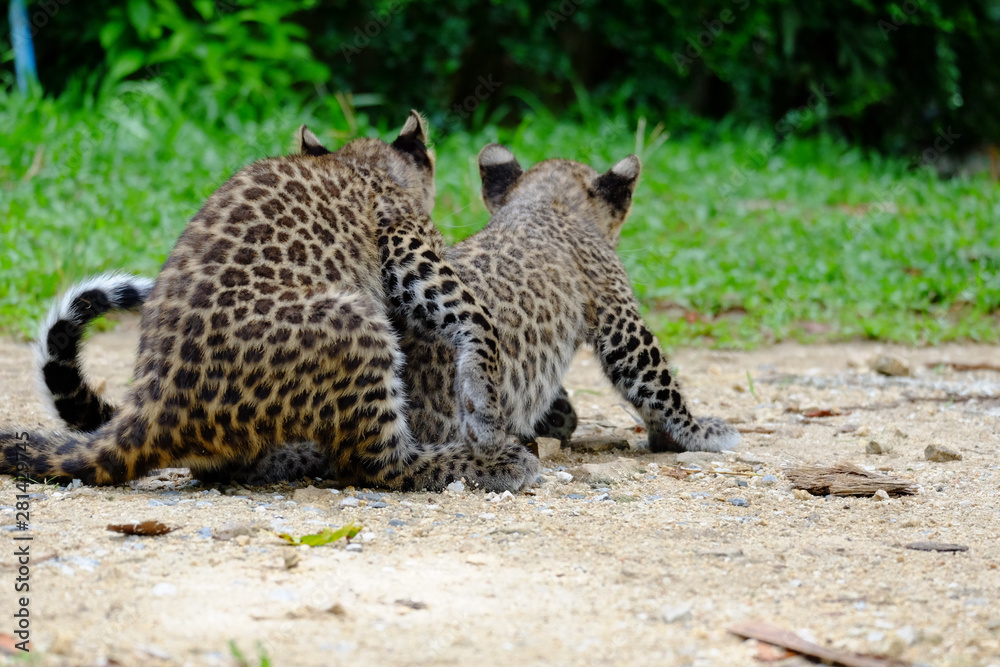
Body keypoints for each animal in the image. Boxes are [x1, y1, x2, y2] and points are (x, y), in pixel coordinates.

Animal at [0, 112, 545, 491]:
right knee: (376, 465)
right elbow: (473, 313)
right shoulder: (406, 245)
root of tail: (155, 403)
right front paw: (484, 407)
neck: (362, 165)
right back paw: (496, 462)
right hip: (356, 322)